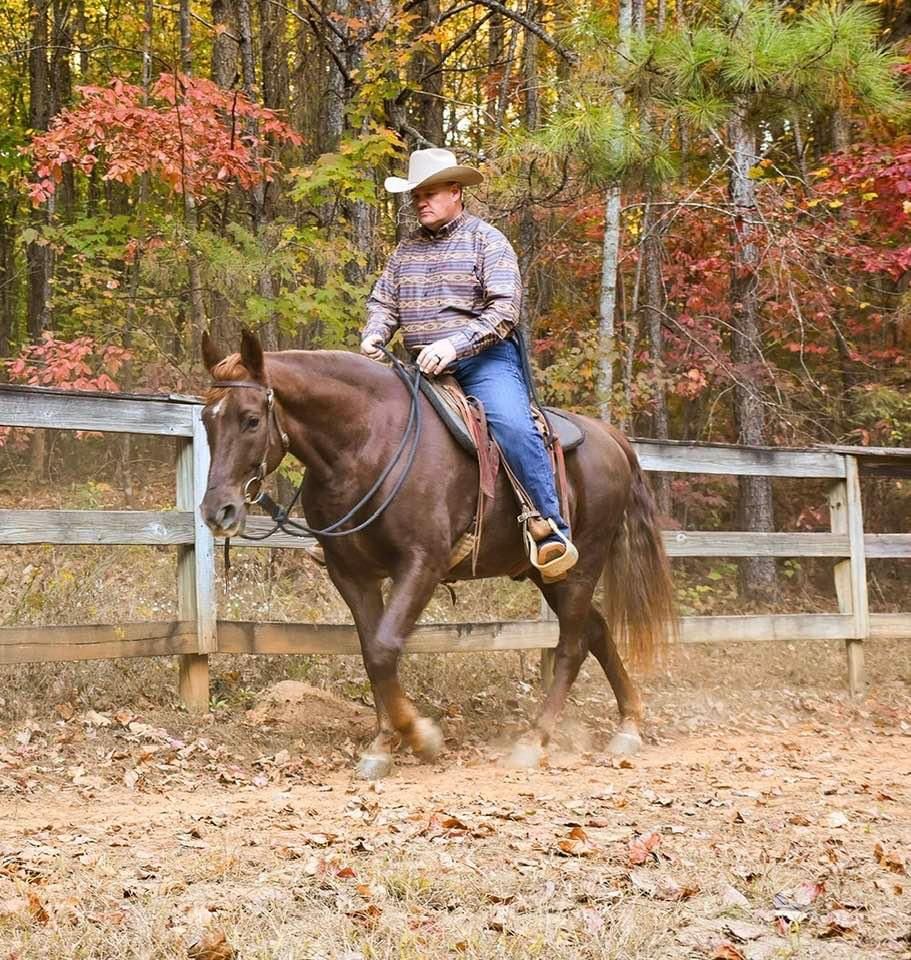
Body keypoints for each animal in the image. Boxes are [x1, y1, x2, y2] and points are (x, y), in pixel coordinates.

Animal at [201, 330, 676, 780]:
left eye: (251, 420)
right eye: (207, 420)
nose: (217, 511)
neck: (367, 443)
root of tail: (612, 438)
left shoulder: (421, 565)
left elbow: (384, 648)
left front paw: (420, 735)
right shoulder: (351, 574)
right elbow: (371, 652)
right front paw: (383, 744)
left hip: (583, 566)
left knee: (572, 646)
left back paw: (534, 740)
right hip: (549, 575)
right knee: (596, 631)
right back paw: (628, 726)